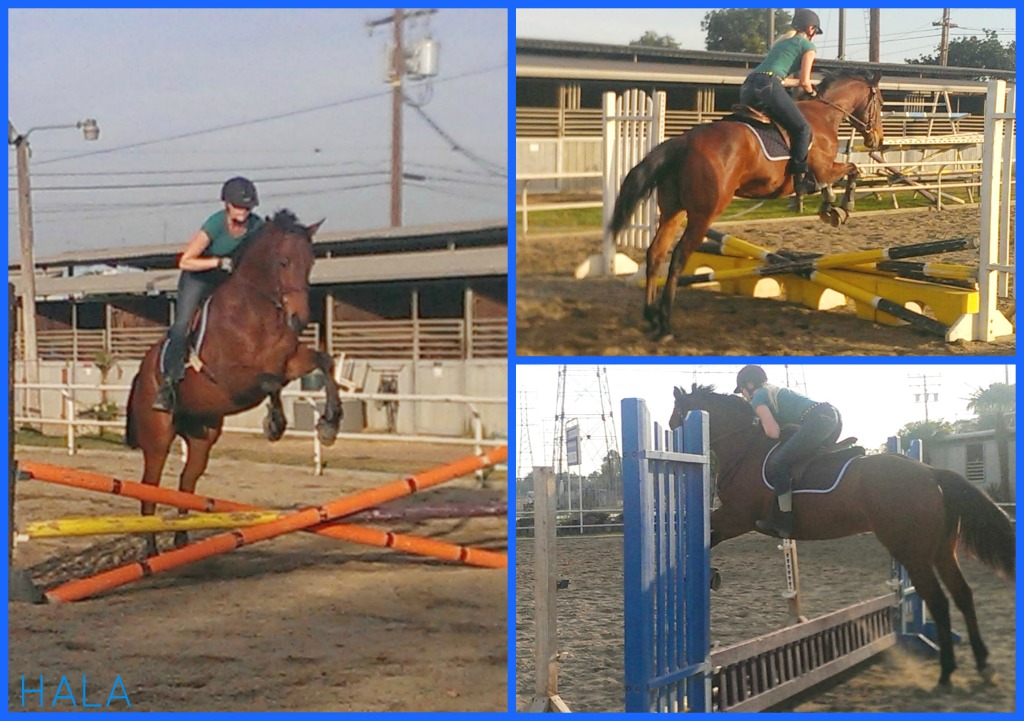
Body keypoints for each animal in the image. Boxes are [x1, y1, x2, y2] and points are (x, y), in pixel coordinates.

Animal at [125, 206, 342, 553]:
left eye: (311, 263)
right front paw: (275, 424)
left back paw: (182, 540)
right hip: (157, 438)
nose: (300, 319)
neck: (256, 314)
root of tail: (140, 375)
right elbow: (270, 382)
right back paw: (151, 549)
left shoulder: (290, 362)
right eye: (283, 262)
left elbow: (323, 363)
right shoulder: (230, 379)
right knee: (149, 490)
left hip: (202, 436)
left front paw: (329, 425)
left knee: (187, 481)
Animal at [610, 69, 884, 340]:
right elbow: (853, 169)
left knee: (655, 253)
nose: (876, 140)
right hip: (703, 215)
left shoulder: (824, 171)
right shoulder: (825, 169)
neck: (824, 114)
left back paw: (650, 316)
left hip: (672, 212)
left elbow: (840, 177)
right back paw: (665, 323)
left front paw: (830, 207)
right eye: (880, 103)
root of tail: (684, 141)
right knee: (677, 257)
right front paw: (844, 206)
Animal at [667, 385, 1011, 688]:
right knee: (962, 594)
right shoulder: (734, 517)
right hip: (941, 551)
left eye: (677, 416)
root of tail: (930, 473)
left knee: (938, 601)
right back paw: (984, 666)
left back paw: (947, 673)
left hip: (912, 554)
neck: (744, 449)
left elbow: (709, 536)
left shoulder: (737, 517)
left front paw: (709, 573)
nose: (671, 436)